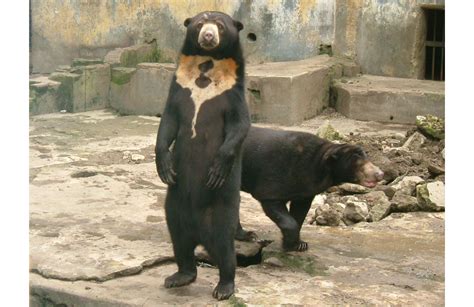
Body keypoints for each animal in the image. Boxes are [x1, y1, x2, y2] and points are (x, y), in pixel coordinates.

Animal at [156, 11, 252, 300]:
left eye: (220, 26)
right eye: (199, 23)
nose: (208, 36)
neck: (206, 67)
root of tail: (199, 233)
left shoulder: (232, 94)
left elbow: (239, 125)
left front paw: (217, 169)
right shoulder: (179, 87)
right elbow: (168, 121)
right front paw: (165, 167)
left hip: (220, 211)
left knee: (224, 249)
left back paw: (224, 287)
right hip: (174, 208)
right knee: (179, 242)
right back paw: (179, 276)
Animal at [237, 127, 386, 253]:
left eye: (367, 158)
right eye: (358, 163)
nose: (380, 174)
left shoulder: (305, 190)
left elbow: (299, 212)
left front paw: (299, 244)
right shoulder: (274, 178)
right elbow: (274, 203)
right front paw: (290, 244)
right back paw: (249, 235)